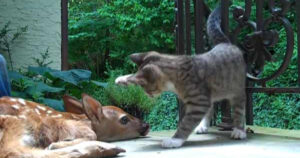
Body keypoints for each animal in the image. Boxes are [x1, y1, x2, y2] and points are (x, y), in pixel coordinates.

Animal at [115, 5, 246, 148]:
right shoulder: (202, 100)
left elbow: (186, 123)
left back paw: (239, 130)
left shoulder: (198, 103)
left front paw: (174, 140)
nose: (149, 95)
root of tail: (225, 43)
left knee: (239, 109)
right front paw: (121, 78)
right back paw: (203, 126)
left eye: (147, 89)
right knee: (211, 109)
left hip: (236, 89)